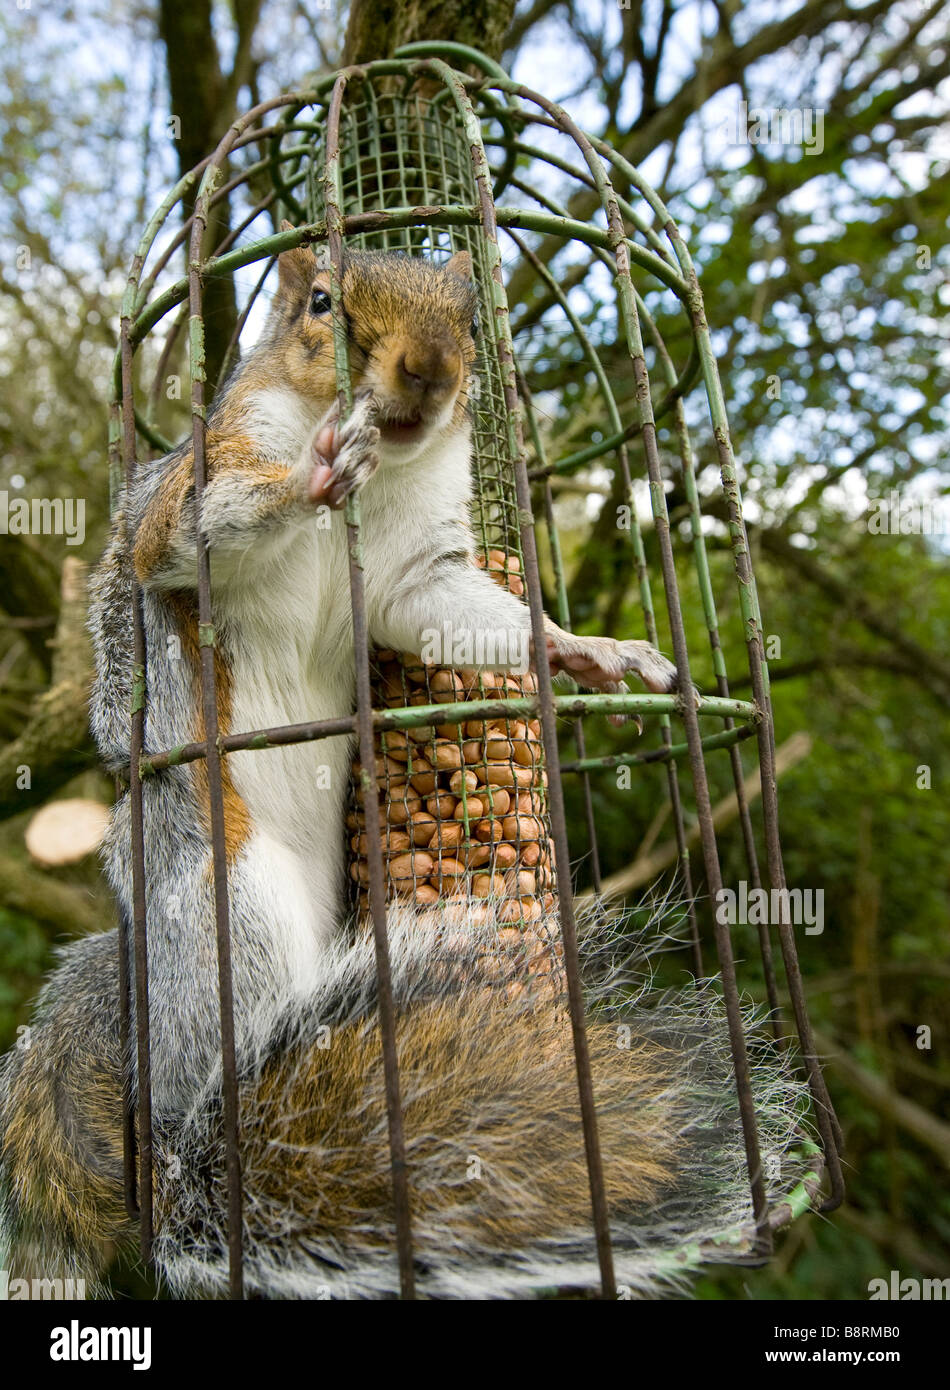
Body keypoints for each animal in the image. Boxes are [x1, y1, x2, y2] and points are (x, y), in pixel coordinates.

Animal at [0, 233, 698, 1295]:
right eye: (322, 303)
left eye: (466, 315)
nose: (430, 370)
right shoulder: (207, 469)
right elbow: (187, 529)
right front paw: (314, 473)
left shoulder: (416, 576)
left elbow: (442, 611)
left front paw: (588, 650)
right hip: (225, 903)